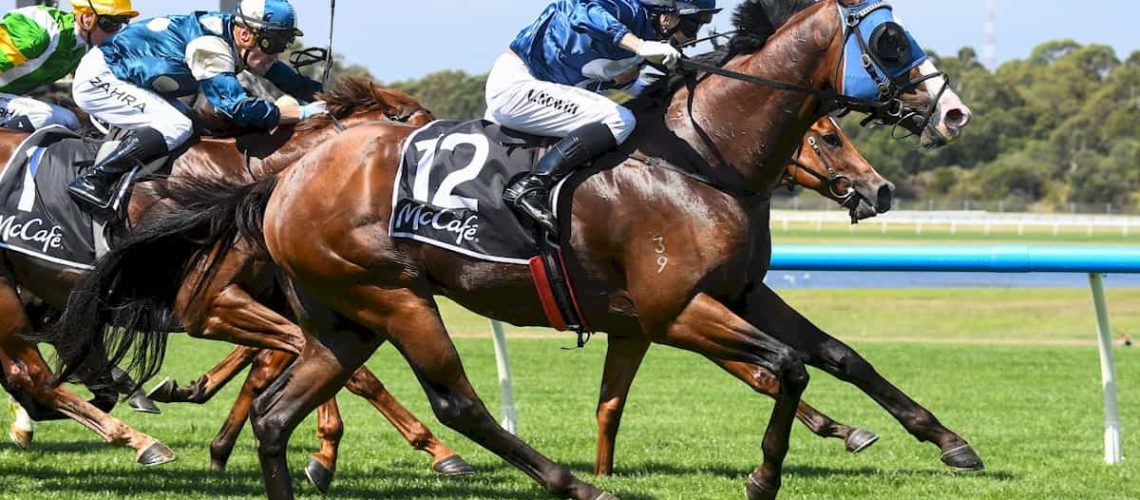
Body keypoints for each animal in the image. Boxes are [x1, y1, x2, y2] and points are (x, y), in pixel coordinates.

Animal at [57, 1, 975, 498]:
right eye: (891, 42)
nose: (953, 113)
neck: (701, 155)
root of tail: (283, 180)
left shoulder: (742, 292)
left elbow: (841, 357)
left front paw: (949, 442)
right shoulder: (673, 309)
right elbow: (785, 368)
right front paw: (764, 476)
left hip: (341, 314)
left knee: (280, 408)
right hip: (393, 297)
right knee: (455, 402)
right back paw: (571, 482)